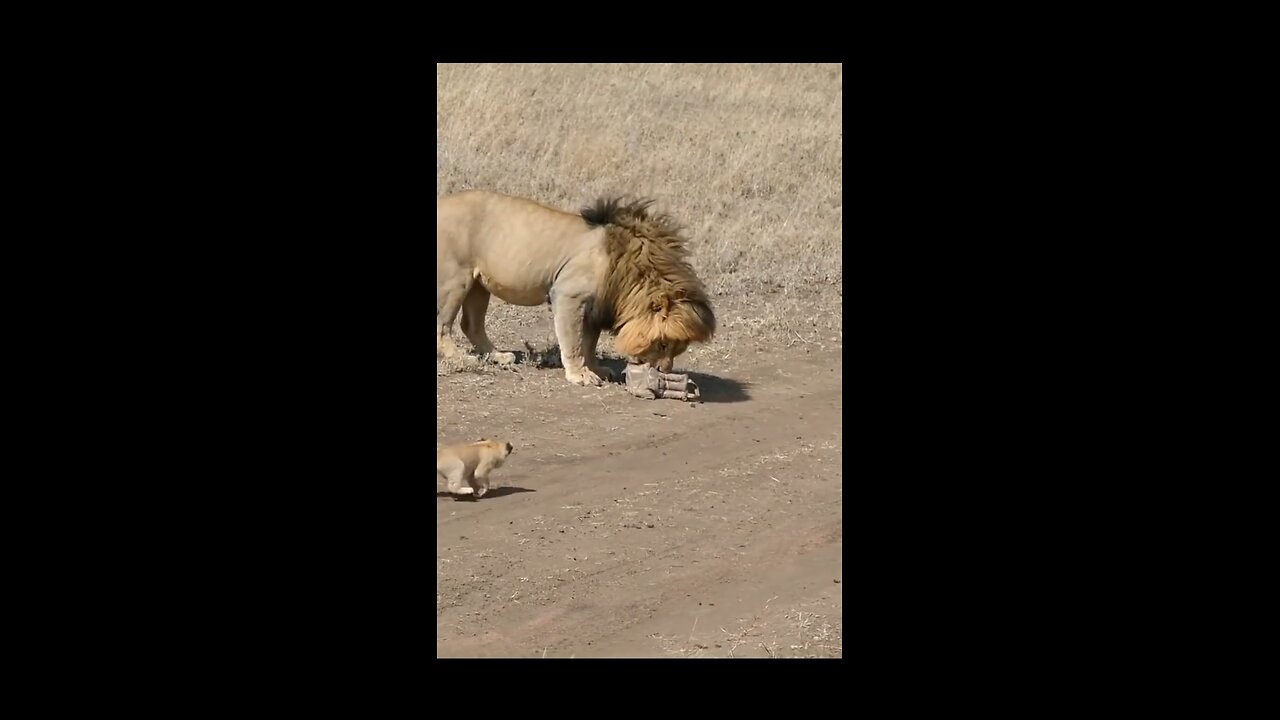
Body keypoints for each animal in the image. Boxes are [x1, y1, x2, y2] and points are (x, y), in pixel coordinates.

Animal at [437, 188, 716, 384]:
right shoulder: (568, 295)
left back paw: (497, 356)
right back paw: (460, 357)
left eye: (678, 349)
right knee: (443, 326)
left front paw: (595, 369)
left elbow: (589, 342)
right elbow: (572, 340)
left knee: (471, 325)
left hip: (478, 285)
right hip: (457, 280)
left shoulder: (596, 306)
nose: (663, 371)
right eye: (663, 345)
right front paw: (579, 375)